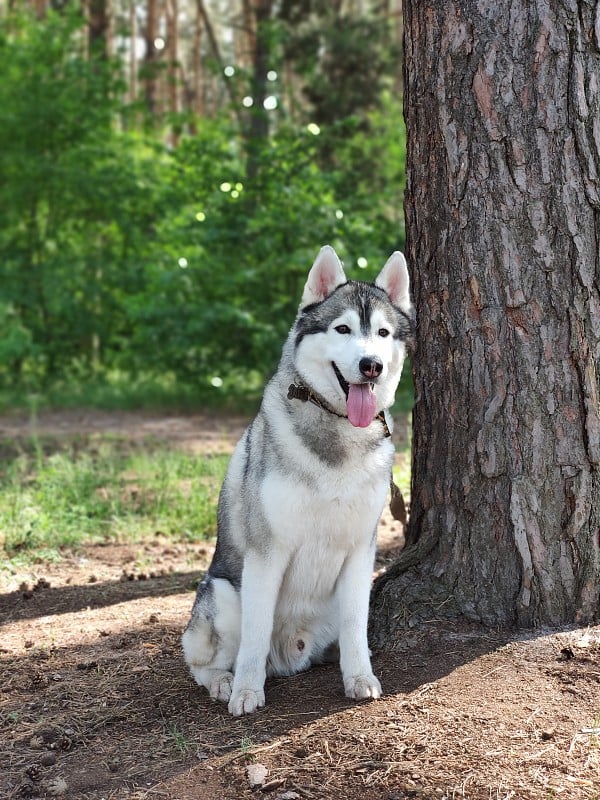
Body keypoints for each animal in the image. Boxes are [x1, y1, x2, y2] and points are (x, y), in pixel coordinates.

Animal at [180, 245, 410, 720]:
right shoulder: (267, 553)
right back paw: (224, 681)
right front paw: (247, 691)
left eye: (382, 332)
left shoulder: (361, 550)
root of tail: (288, 656)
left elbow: (357, 629)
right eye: (342, 328)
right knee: (203, 661)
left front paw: (359, 676)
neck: (338, 430)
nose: (371, 365)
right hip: (223, 595)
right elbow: (255, 632)